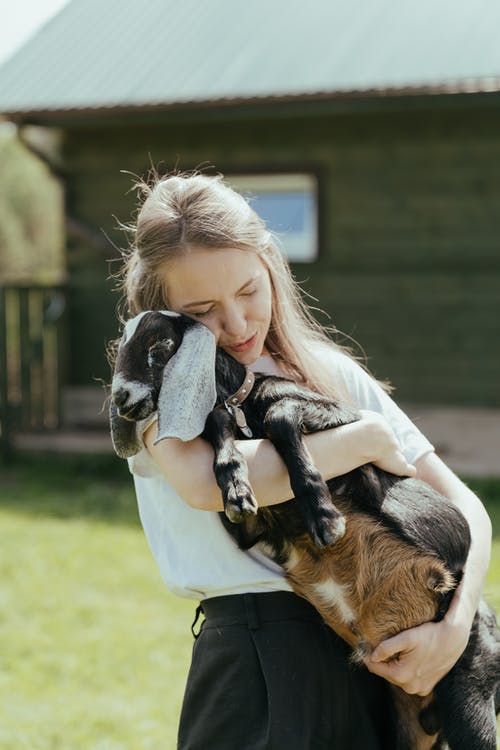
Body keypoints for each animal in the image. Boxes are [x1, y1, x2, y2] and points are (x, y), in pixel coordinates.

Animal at [109, 312, 500, 750]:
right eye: (120, 346)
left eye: (159, 346)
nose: (121, 397)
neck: (245, 406)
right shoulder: (247, 528)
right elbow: (218, 430)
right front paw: (236, 489)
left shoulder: (346, 427)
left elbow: (280, 415)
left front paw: (323, 516)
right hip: (404, 726)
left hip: (470, 690)